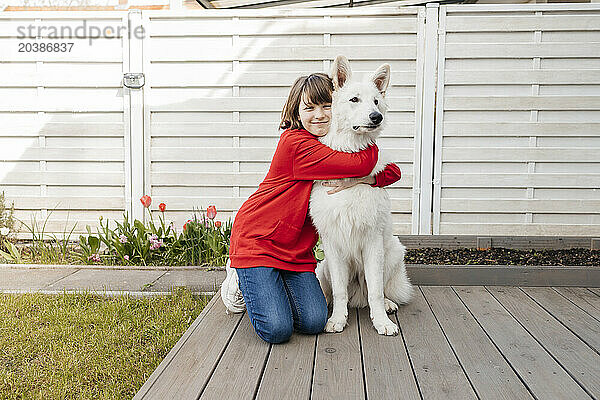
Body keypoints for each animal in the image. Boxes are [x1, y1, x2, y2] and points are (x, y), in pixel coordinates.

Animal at [310, 56, 412, 336]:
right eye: (354, 99)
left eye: (376, 101)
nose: (376, 117)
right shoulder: (333, 246)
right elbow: (340, 291)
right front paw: (337, 319)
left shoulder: (373, 244)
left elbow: (375, 291)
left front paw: (382, 322)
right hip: (322, 264)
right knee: (335, 290)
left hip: (392, 252)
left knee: (376, 290)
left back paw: (387, 304)